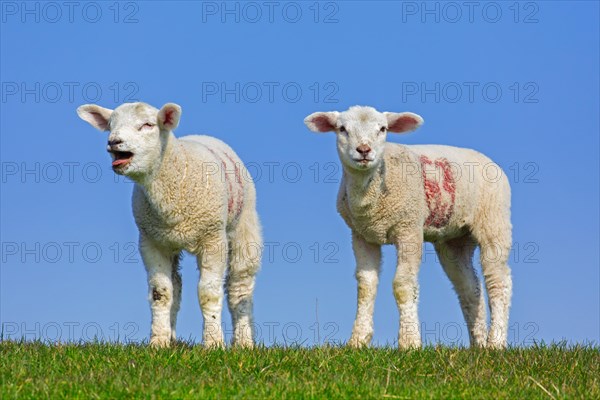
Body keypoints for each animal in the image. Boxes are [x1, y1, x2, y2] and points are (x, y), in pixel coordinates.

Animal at [77, 102, 260, 346]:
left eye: (148, 125)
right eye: (110, 125)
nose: (114, 141)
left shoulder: (213, 238)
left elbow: (208, 293)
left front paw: (213, 343)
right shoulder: (151, 242)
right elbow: (161, 292)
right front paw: (158, 342)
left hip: (244, 227)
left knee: (239, 286)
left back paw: (244, 342)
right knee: (177, 285)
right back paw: (172, 339)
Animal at [308, 106, 512, 346]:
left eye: (383, 128)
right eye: (342, 129)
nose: (364, 150)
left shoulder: (409, 229)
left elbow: (403, 285)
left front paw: (409, 341)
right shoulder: (361, 235)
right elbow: (366, 285)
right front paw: (358, 340)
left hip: (493, 221)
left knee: (498, 281)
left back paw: (496, 342)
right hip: (454, 240)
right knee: (470, 288)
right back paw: (478, 344)